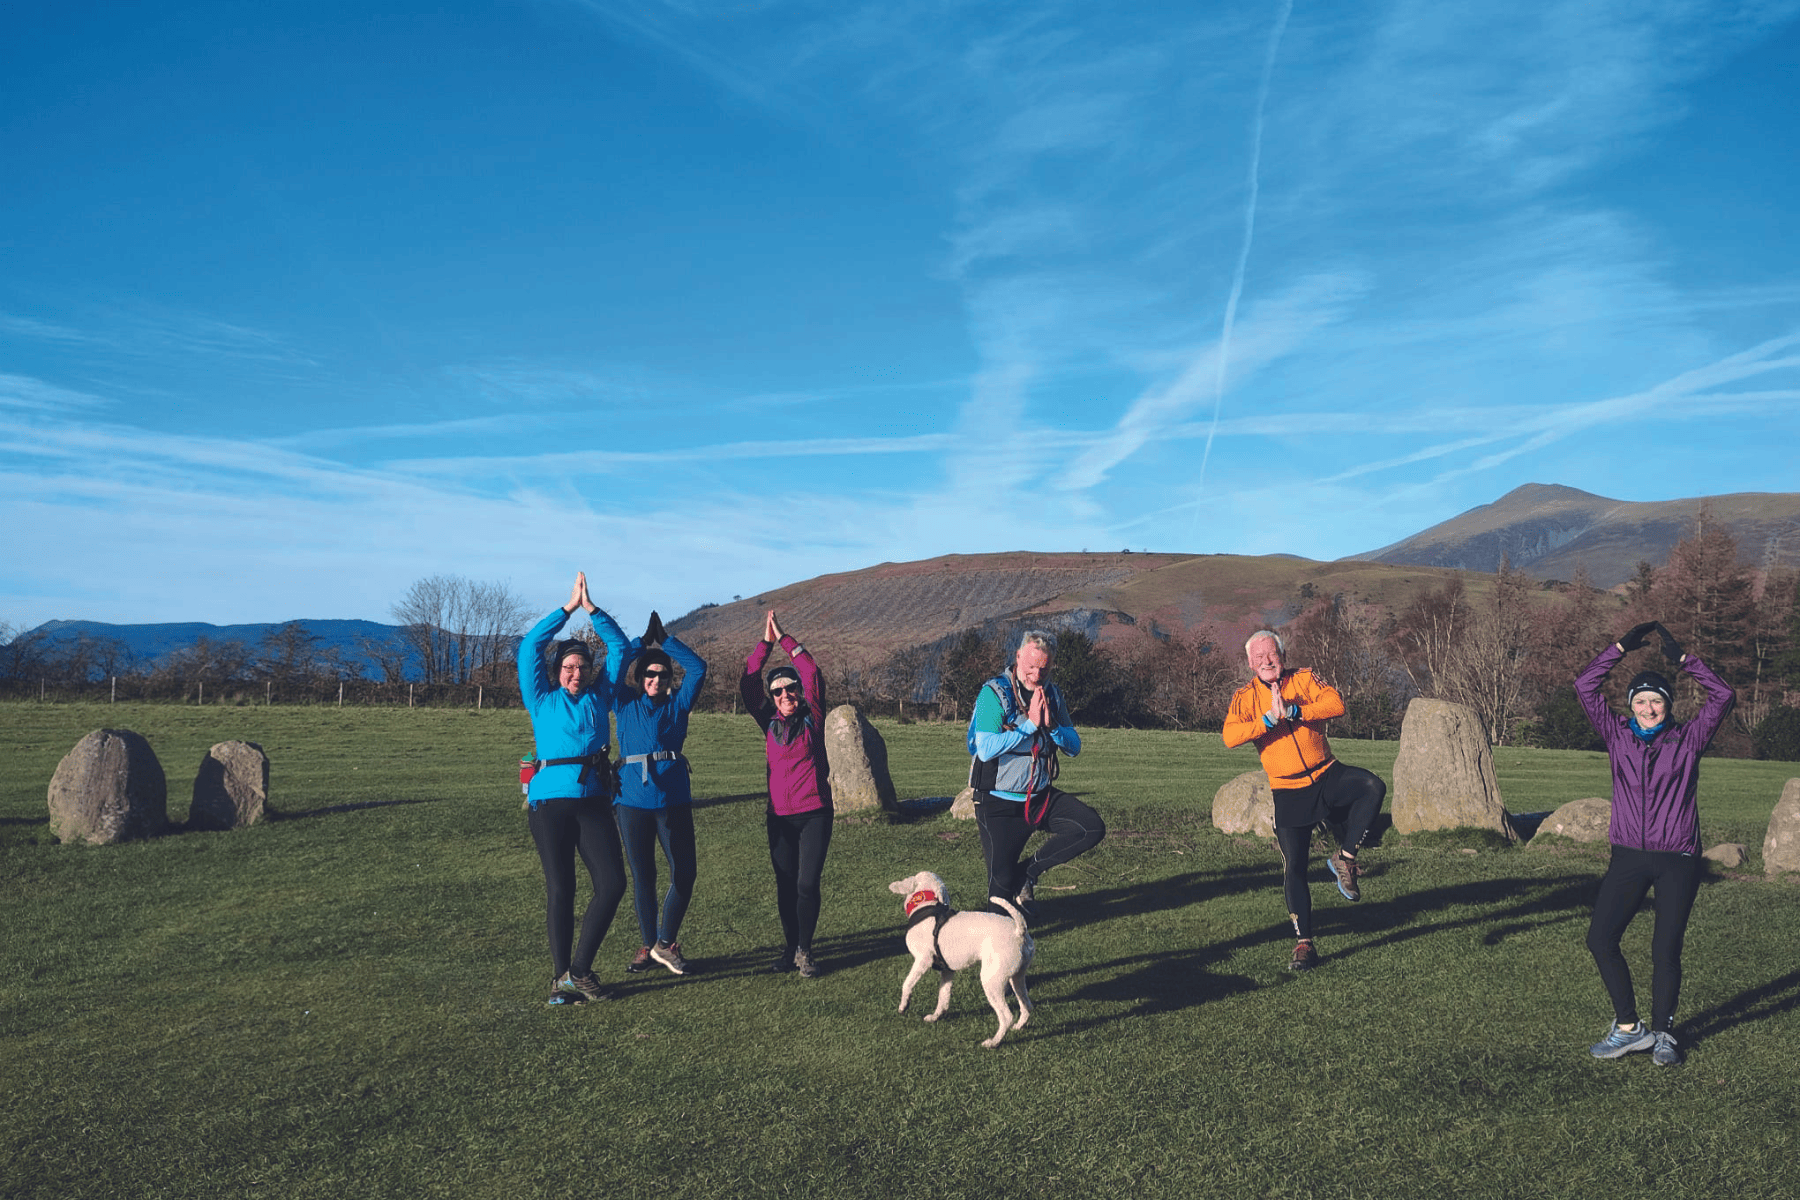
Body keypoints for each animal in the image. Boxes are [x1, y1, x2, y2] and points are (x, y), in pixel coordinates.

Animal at [889, 867, 1036, 1043]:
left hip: (991, 981)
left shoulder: (923, 960)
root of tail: (1019, 931)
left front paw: (903, 1006)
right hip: (1017, 978)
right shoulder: (947, 971)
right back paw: (1018, 1027)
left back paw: (993, 1042)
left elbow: (907, 984)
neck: (925, 906)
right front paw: (936, 1016)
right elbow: (943, 997)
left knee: (1007, 1017)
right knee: (1027, 1006)